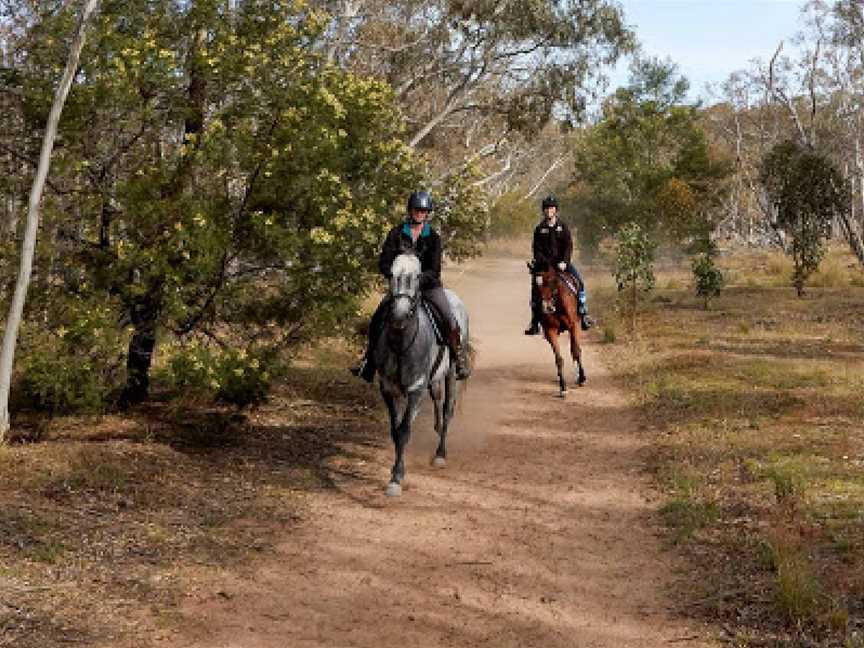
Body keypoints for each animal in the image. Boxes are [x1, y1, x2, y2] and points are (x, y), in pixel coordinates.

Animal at [374, 253, 470, 496]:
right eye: (392, 274)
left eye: (417, 276)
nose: (398, 316)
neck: (401, 343)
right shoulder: (389, 389)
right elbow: (395, 431)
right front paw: (394, 475)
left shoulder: (416, 389)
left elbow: (404, 431)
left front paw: (397, 478)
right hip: (434, 379)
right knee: (437, 400)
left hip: (451, 373)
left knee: (447, 409)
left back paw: (440, 454)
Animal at [532, 268, 588, 398]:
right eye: (536, 286)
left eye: (551, 284)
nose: (546, 308)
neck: (557, 304)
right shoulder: (550, 330)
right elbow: (558, 359)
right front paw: (563, 387)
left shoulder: (574, 325)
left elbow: (576, 351)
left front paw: (582, 378)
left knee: (575, 350)